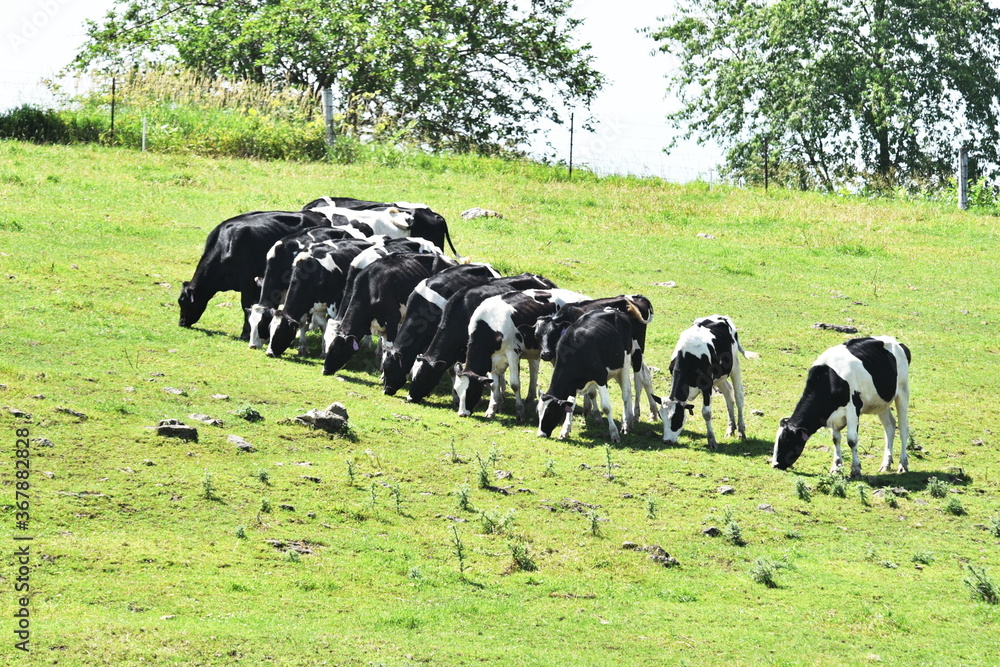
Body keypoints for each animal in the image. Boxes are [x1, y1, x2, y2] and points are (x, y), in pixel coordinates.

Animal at [322, 252, 458, 375]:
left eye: (335, 349)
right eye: (325, 344)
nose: (324, 370)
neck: (371, 287)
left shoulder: (393, 319)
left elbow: (389, 346)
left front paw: (383, 373)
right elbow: (384, 346)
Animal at [454, 288, 590, 420]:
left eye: (470, 391)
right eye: (456, 390)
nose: (462, 414)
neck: (491, 322)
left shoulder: (513, 353)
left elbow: (515, 384)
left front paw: (520, 412)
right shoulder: (492, 358)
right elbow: (494, 385)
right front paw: (491, 410)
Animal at [537, 308, 636, 443]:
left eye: (550, 412)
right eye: (538, 412)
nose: (540, 434)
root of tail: (614, 310)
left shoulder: (601, 377)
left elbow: (606, 407)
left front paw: (614, 433)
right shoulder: (572, 384)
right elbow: (570, 405)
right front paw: (565, 430)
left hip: (625, 362)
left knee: (626, 394)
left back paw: (625, 425)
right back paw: (629, 422)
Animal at [654, 315, 758, 448]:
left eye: (676, 417)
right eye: (661, 416)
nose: (667, 441)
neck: (688, 356)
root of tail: (722, 317)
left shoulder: (707, 385)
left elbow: (706, 413)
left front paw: (712, 440)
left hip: (734, 365)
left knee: (738, 396)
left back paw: (741, 431)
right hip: (720, 376)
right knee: (728, 394)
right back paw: (731, 429)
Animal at [771, 336, 911, 478]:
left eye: (786, 440)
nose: (775, 465)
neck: (829, 379)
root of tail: (897, 342)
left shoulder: (853, 409)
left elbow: (852, 440)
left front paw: (855, 470)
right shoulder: (832, 416)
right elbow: (835, 439)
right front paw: (836, 467)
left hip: (902, 392)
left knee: (903, 428)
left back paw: (903, 464)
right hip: (882, 401)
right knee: (890, 427)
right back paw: (885, 464)